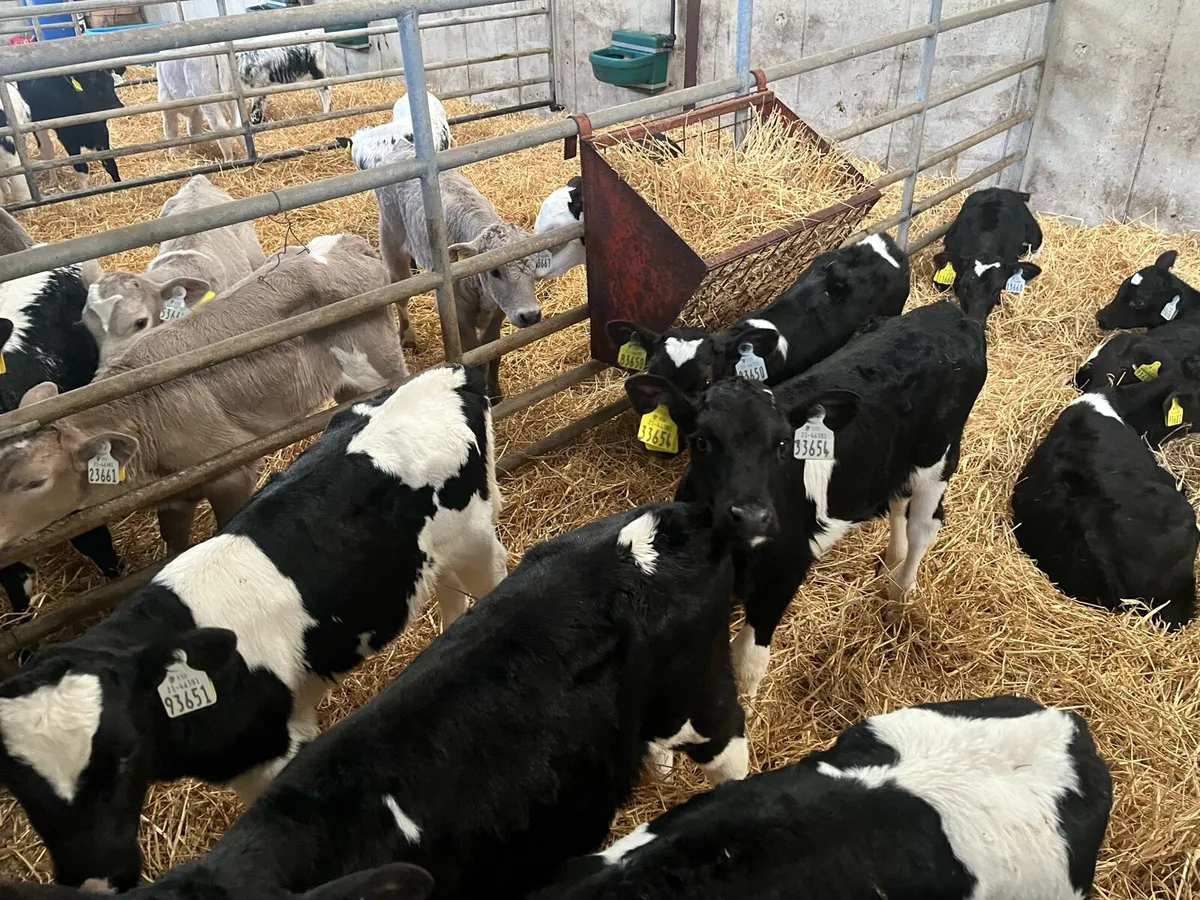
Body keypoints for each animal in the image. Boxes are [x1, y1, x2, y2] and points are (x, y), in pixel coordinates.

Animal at [0, 234, 406, 560]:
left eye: (36, 481)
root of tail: (348, 243)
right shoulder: (172, 497)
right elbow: (174, 542)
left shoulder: (232, 472)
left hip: (381, 362)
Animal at [0, 363, 504, 891]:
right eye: (16, 784)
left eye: (123, 755)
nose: (96, 878)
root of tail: (448, 375)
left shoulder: (273, 750)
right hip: (429, 558)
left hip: (475, 542)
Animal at [368, 142, 542, 403]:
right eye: (494, 272)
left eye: (533, 266)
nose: (530, 315)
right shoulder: (458, 315)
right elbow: (475, 356)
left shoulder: (499, 313)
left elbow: (494, 351)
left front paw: (495, 392)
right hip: (392, 244)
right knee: (401, 295)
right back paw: (407, 338)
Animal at [624, 293, 999, 697]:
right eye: (702, 441)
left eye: (783, 444)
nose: (751, 517)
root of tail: (951, 314)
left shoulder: (786, 569)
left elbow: (748, 662)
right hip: (894, 459)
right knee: (899, 499)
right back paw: (891, 562)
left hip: (939, 455)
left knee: (924, 526)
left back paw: (899, 595)